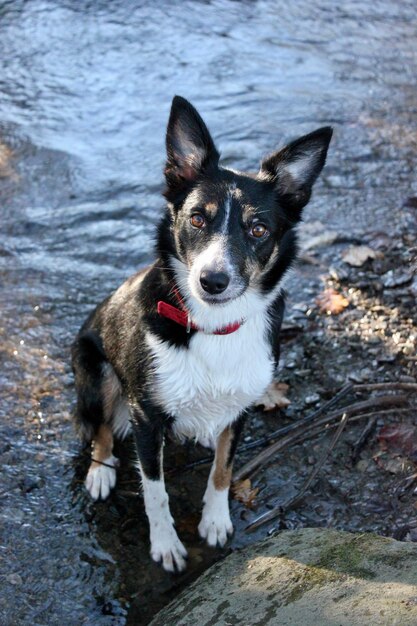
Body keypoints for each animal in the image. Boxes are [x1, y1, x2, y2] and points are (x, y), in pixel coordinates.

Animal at [71, 96, 332, 572]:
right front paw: (166, 545)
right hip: (92, 367)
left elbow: (223, 469)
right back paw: (100, 469)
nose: (213, 281)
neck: (214, 327)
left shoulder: (243, 406)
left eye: (258, 229)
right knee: (98, 427)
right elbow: (155, 492)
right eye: (196, 219)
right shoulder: (145, 416)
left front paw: (214, 520)